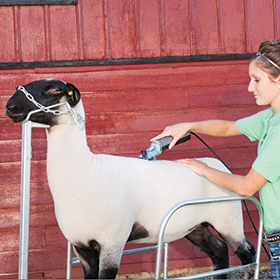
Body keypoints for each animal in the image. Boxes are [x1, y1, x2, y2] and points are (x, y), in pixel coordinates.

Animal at [5, 79, 255, 278]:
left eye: (54, 90)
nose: (10, 106)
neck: (87, 173)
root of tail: (217, 164)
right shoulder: (81, 246)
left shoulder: (112, 242)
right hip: (195, 226)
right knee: (220, 253)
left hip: (228, 219)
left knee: (247, 253)